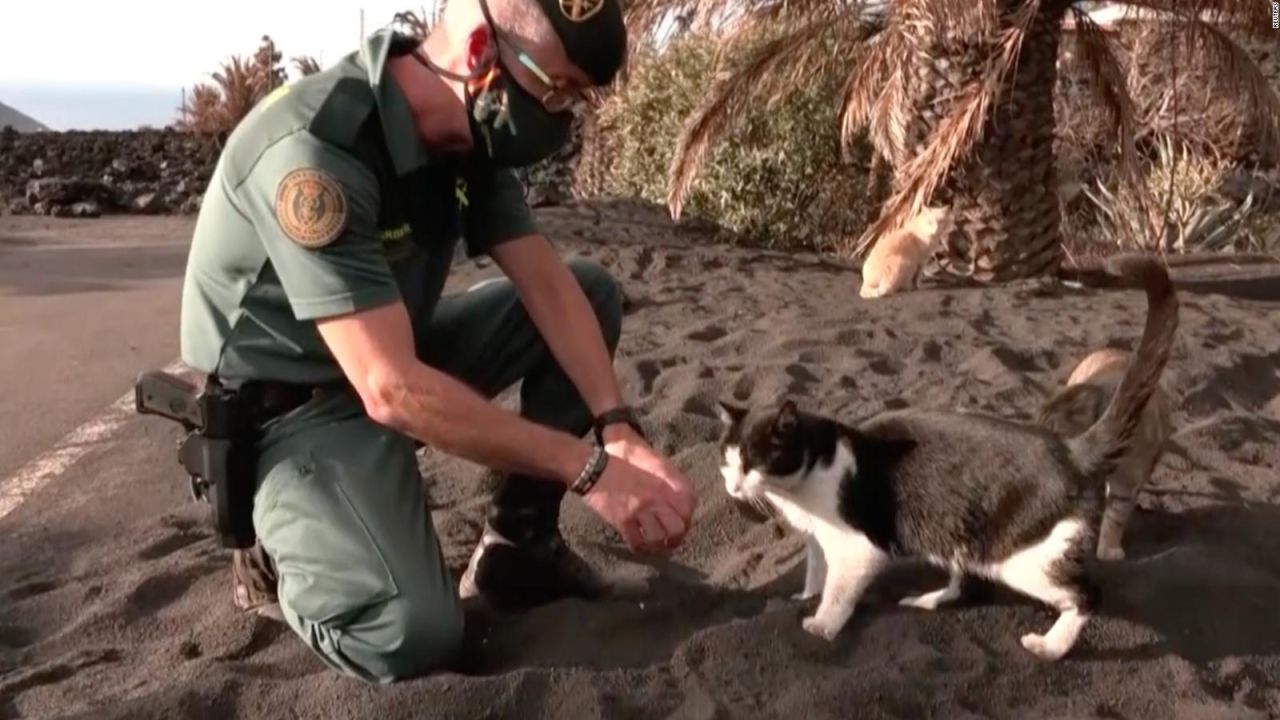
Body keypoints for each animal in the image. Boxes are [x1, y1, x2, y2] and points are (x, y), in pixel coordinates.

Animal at [716, 253, 1172, 661]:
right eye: (728, 460)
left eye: (753, 462)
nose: (733, 486)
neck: (806, 484)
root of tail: (1072, 449)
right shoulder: (817, 541)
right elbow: (815, 576)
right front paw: (803, 598)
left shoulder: (859, 546)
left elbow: (838, 593)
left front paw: (820, 626)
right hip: (963, 530)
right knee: (969, 582)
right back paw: (927, 601)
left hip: (1021, 555)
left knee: (1087, 595)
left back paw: (1050, 647)